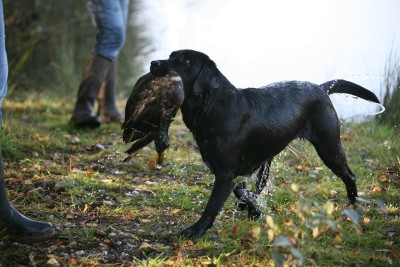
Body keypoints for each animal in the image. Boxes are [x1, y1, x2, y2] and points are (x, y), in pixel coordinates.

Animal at [149, 49, 378, 238]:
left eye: (185, 61)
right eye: (170, 56)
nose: (153, 63)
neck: (213, 107)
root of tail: (320, 88)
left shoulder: (225, 174)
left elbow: (212, 206)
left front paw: (196, 230)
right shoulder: (233, 171)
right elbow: (243, 191)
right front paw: (254, 211)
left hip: (329, 146)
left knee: (349, 174)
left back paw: (354, 206)